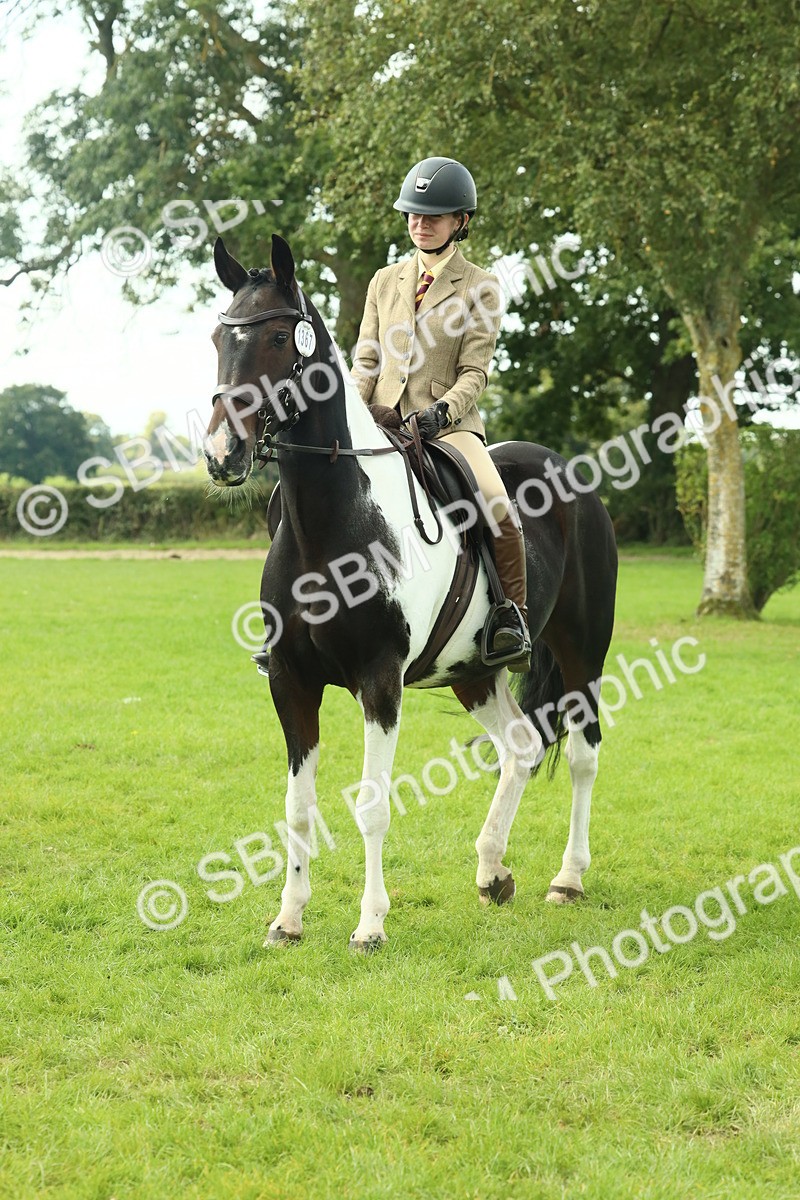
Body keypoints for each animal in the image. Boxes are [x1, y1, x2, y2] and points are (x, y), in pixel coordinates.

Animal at [205, 233, 618, 952]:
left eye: (281, 337)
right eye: (216, 338)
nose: (222, 452)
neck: (332, 525)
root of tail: (571, 471)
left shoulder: (380, 681)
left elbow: (371, 804)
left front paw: (370, 925)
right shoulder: (290, 679)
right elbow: (297, 806)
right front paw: (288, 918)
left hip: (580, 654)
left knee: (582, 754)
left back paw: (567, 879)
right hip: (473, 671)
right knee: (520, 747)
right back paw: (492, 872)